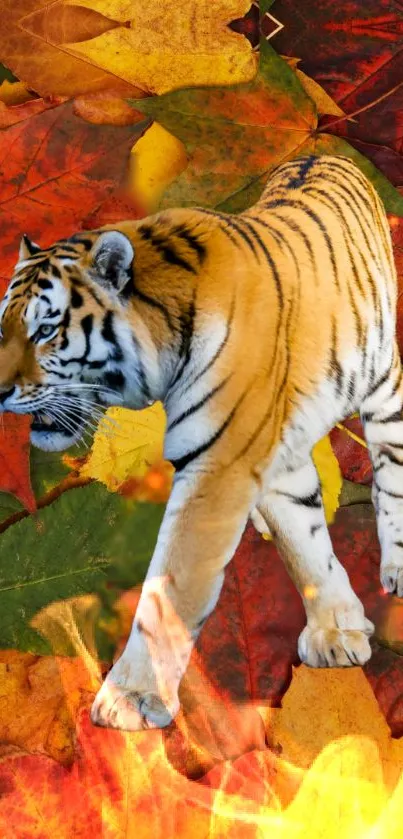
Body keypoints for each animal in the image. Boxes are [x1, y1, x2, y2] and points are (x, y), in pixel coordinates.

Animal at [0, 154, 400, 732]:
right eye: (2, 327)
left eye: (46, 331)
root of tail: (325, 154)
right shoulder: (266, 458)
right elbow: (304, 544)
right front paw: (336, 631)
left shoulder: (219, 468)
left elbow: (173, 586)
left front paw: (130, 699)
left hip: (383, 383)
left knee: (391, 474)